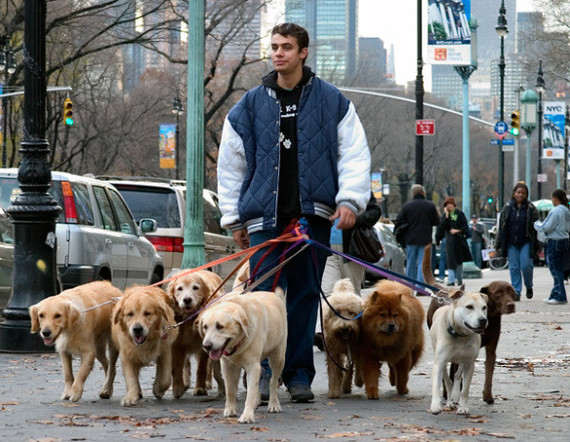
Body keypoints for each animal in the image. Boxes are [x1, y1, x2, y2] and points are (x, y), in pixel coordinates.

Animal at [165, 268, 223, 398]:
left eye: (195, 288)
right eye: (179, 289)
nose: (187, 300)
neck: (189, 319)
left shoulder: (204, 345)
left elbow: (201, 368)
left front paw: (200, 388)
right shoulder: (176, 345)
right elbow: (176, 367)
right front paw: (177, 388)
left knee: (209, 366)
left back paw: (207, 383)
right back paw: (185, 383)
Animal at [197, 288, 286, 424]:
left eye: (220, 326)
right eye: (205, 327)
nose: (206, 346)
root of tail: (274, 295)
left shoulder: (253, 366)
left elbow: (250, 393)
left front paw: (247, 415)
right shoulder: (227, 366)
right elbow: (230, 390)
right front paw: (231, 409)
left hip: (278, 358)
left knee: (273, 380)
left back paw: (274, 404)